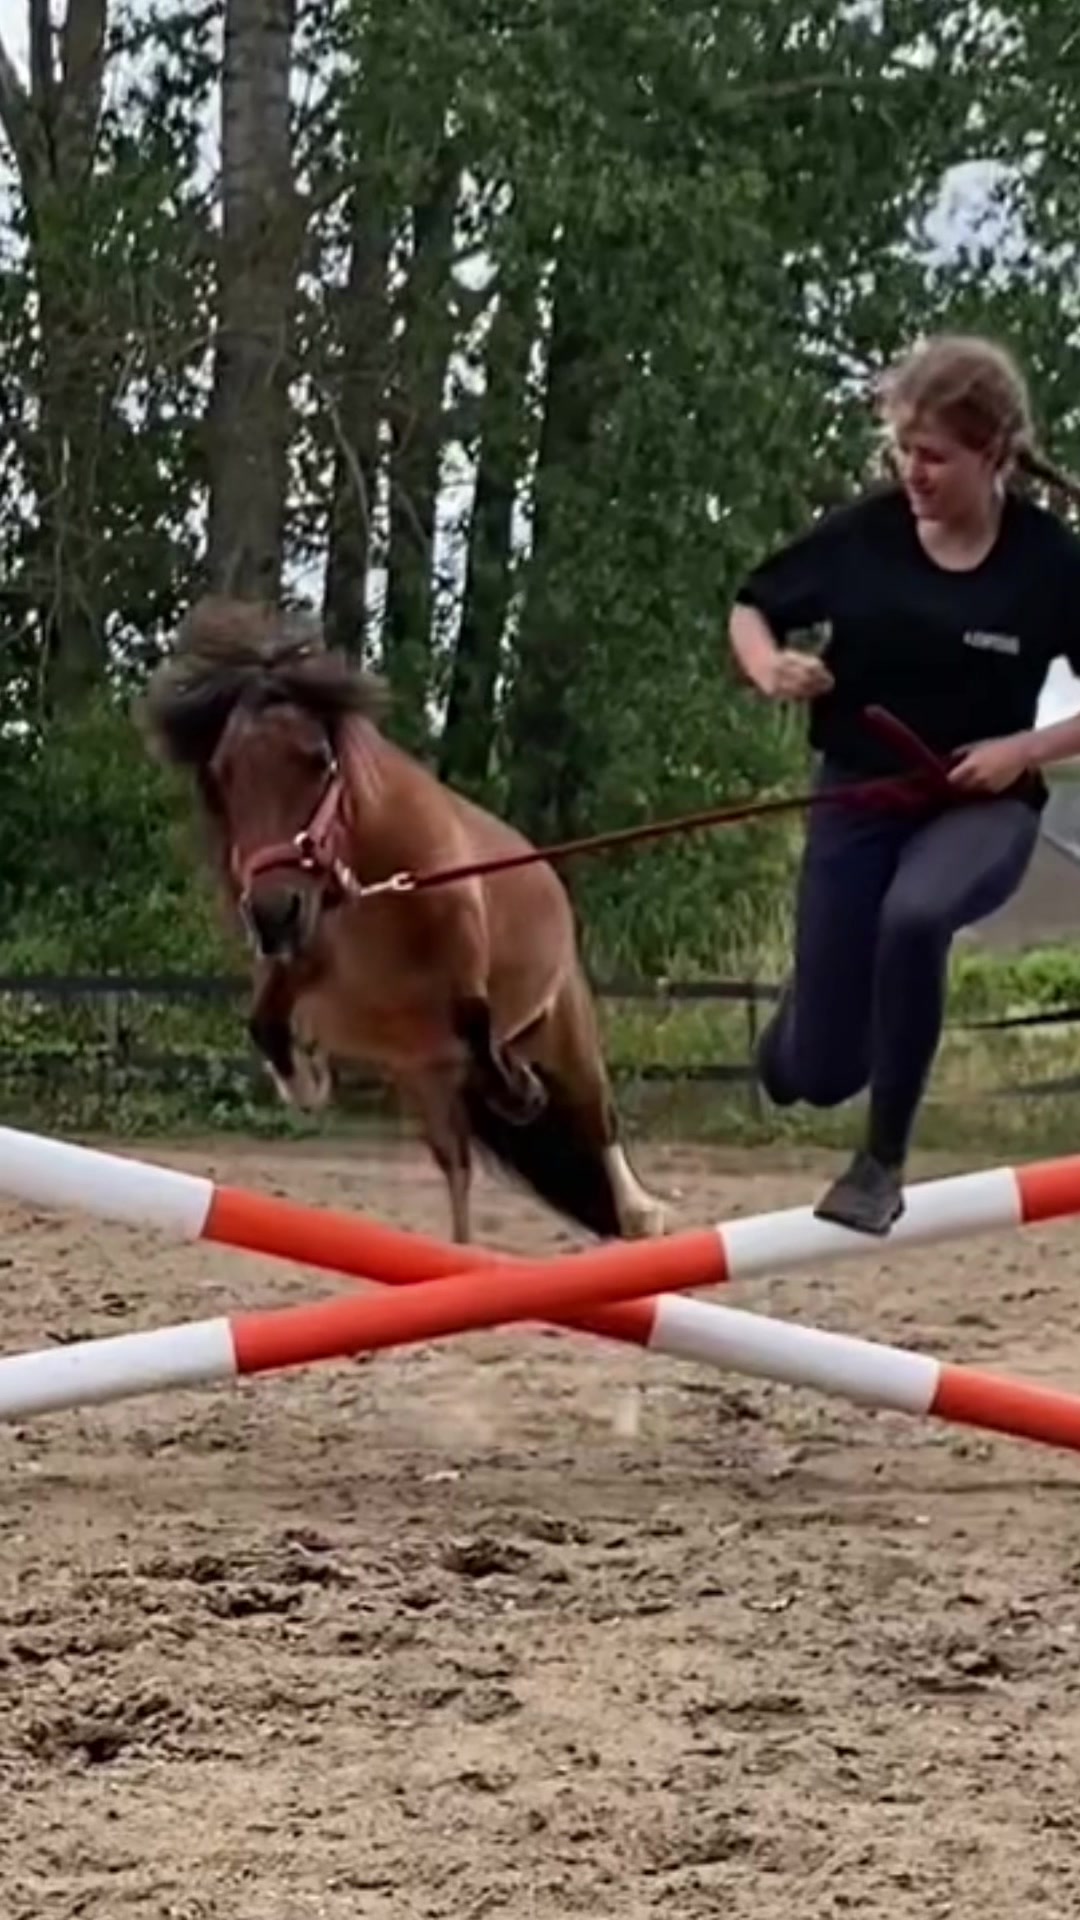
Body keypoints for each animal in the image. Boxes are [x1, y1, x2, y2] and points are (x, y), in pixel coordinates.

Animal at [140, 595, 670, 1247]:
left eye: (318, 760)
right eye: (221, 773)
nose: (271, 912)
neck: (363, 891)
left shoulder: (463, 963)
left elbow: (475, 1021)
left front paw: (520, 1090)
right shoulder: (301, 965)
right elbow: (264, 1023)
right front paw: (309, 1080)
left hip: (564, 1031)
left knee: (599, 1125)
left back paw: (639, 1210)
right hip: (427, 1083)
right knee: (459, 1171)